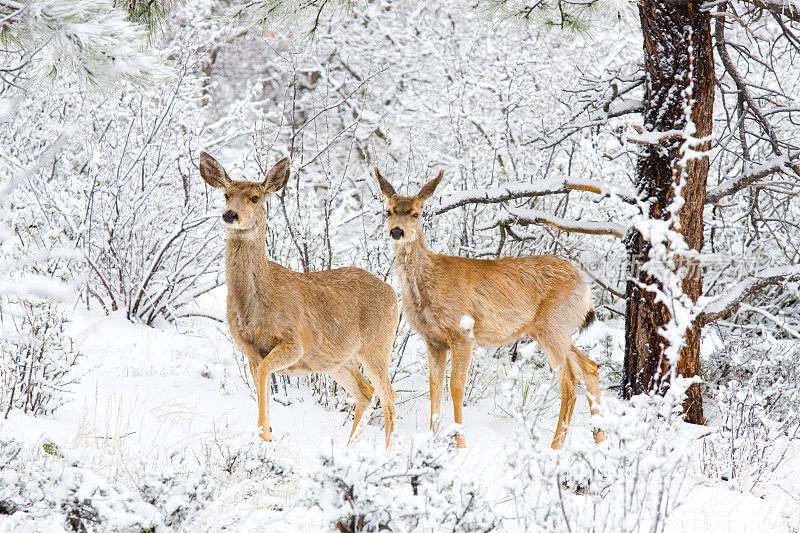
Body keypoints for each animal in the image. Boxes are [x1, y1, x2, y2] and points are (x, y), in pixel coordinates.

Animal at [198, 151, 398, 444]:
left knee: (388, 395)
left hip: (377, 345)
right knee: (366, 391)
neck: (255, 302)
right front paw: (267, 435)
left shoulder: (294, 342)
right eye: (225, 194)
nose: (230, 214)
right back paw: (348, 448)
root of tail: (393, 292)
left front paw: (264, 434)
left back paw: (387, 450)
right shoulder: (250, 352)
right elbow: (263, 384)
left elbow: (265, 375)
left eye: (255, 197)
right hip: (337, 359)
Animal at [376, 167, 608, 448]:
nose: (396, 232)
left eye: (416, 213)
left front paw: (461, 444)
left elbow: (456, 387)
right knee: (589, 367)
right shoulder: (433, 340)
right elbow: (434, 388)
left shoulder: (462, 333)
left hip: (553, 325)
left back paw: (554, 447)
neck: (428, 283)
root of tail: (585, 287)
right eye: (388, 211)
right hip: (552, 328)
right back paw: (601, 438)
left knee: (570, 380)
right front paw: (431, 441)